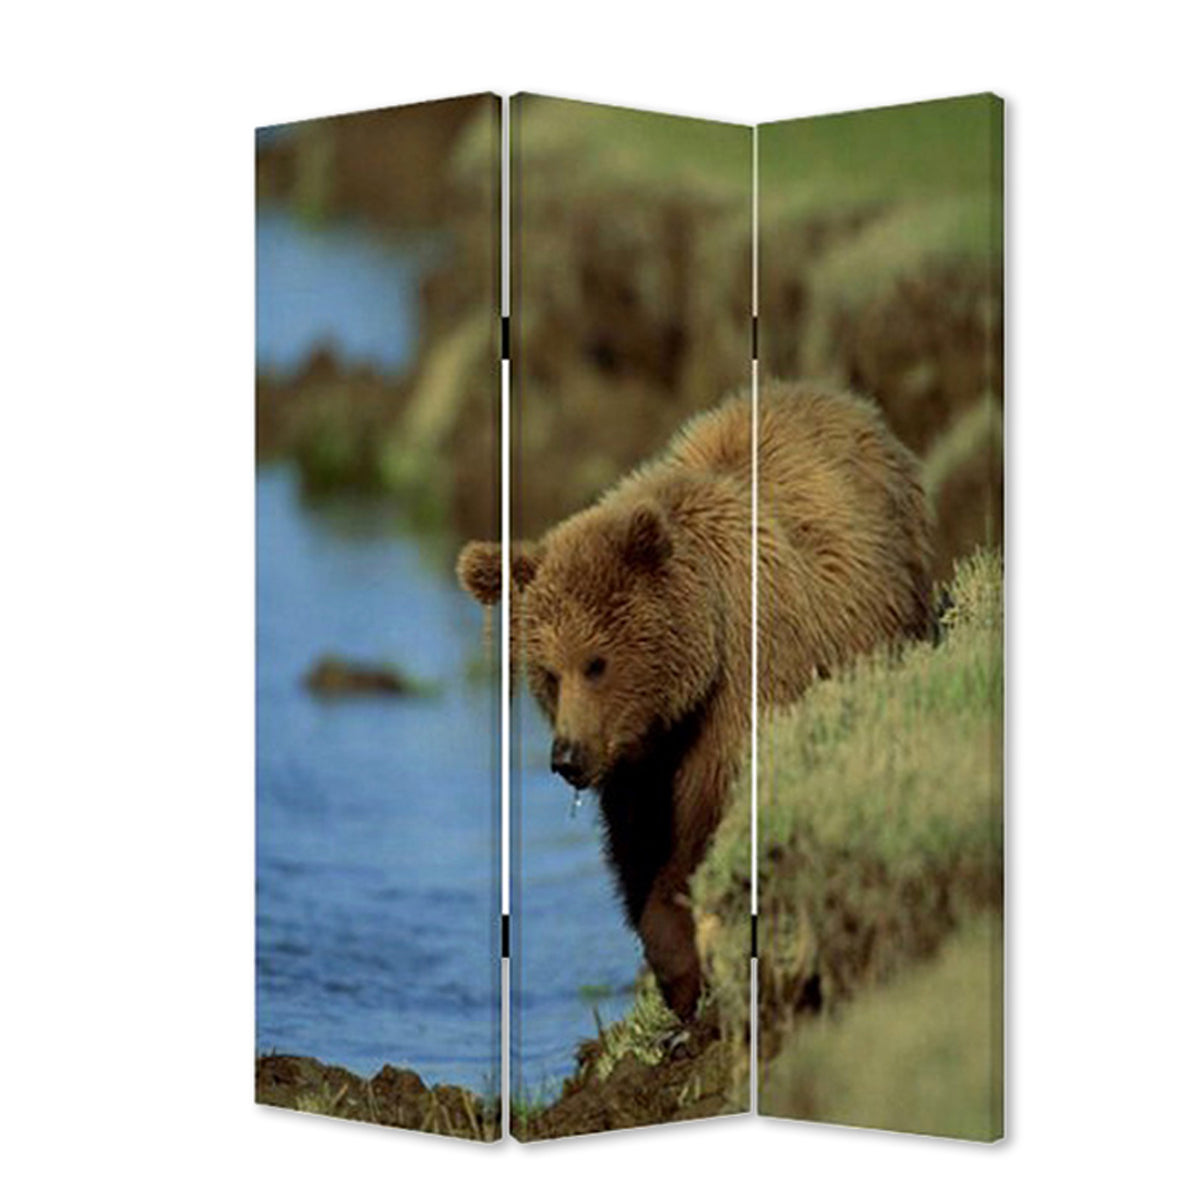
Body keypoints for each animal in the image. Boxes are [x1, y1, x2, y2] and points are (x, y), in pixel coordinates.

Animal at [456, 380, 933, 1019]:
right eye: (548, 673)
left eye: (596, 663)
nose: (567, 758)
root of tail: (848, 403)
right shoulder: (637, 762)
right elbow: (639, 847)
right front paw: (676, 973)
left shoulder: (742, 690)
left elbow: (707, 823)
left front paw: (691, 968)